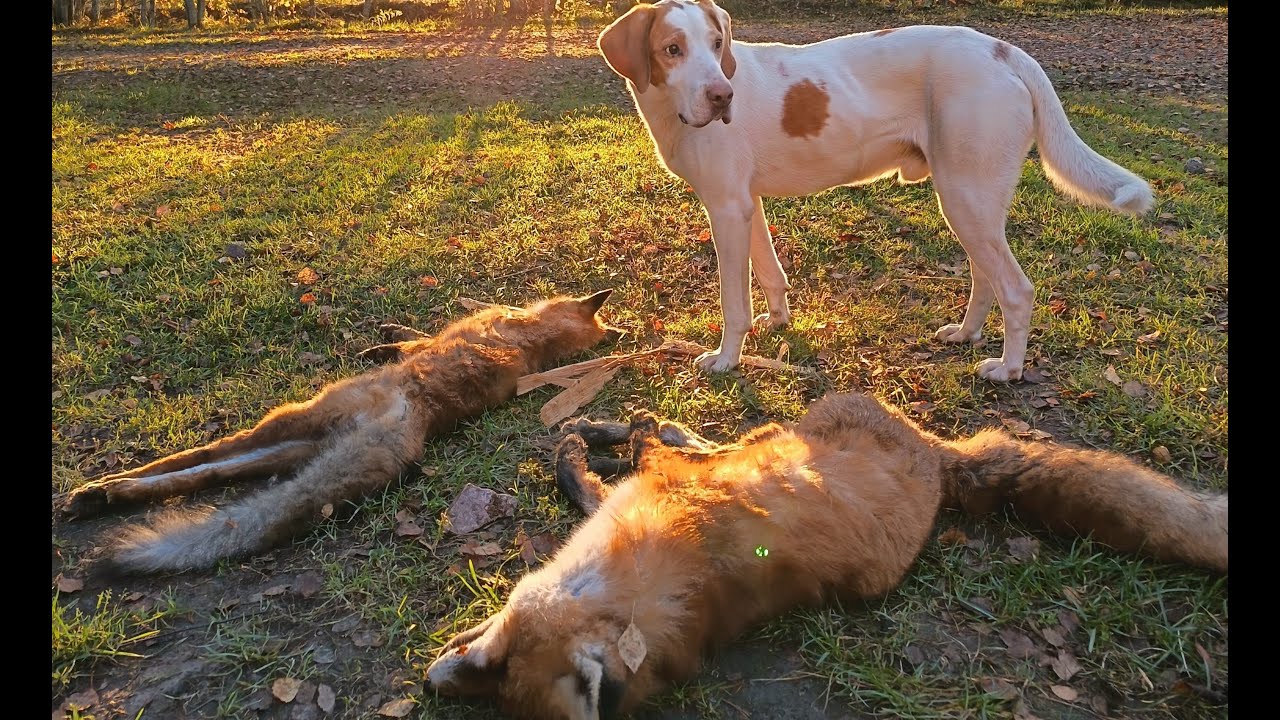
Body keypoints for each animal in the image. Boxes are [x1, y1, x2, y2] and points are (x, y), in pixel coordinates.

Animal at [59, 290, 621, 576]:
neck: (536, 340)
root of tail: (410, 423)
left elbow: (411, 340)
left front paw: (386, 341)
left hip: (289, 421)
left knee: (204, 458)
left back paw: (103, 490)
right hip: (295, 448)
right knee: (213, 474)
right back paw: (105, 497)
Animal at [425, 392, 1227, 720]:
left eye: (498, 655)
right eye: (491, 680)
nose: (436, 676)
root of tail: (941, 461)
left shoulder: (661, 486)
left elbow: (621, 457)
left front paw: (586, 440)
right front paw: (591, 443)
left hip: (804, 422)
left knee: (732, 432)